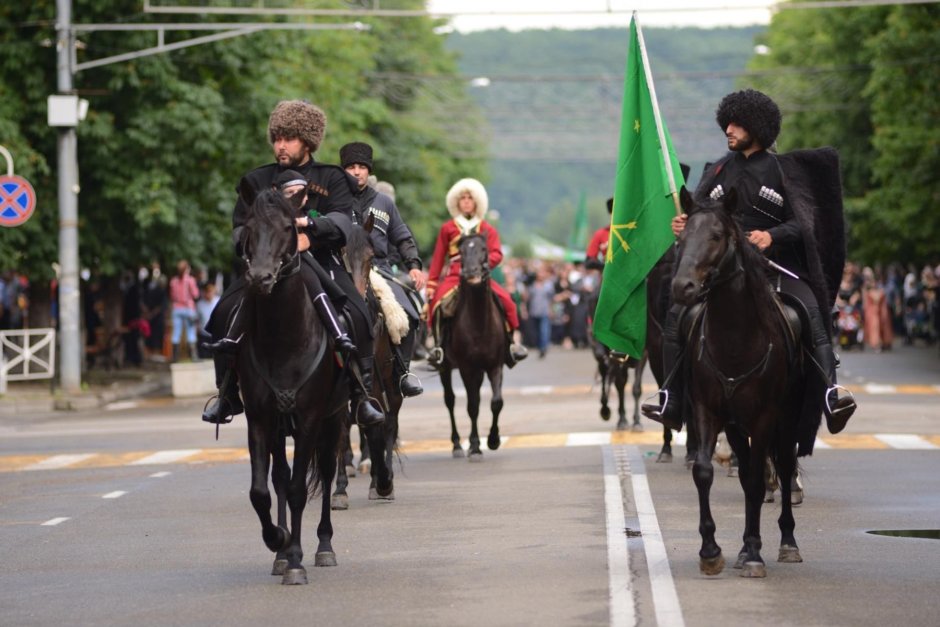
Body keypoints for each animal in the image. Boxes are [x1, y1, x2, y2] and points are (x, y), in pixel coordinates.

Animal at [235, 184, 346, 588]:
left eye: (288, 227)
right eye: (249, 227)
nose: (261, 278)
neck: (283, 337)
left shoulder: (311, 419)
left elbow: (299, 490)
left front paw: (297, 560)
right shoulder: (260, 420)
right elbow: (261, 491)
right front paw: (278, 542)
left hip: (335, 418)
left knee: (326, 473)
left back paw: (323, 546)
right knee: (280, 479)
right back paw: (281, 553)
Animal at [440, 233, 506, 458]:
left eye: (484, 249)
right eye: (461, 252)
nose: (471, 272)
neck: (479, 323)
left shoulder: (495, 365)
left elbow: (496, 402)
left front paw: (493, 440)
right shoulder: (466, 368)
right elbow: (473, 406)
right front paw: (476, 445)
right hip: (445, 367)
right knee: (450, 400)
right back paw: (458, 445)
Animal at [672, 186, 812, 580]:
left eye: (717, 236)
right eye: (682, 238)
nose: (682, 287)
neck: (735, 340)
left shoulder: (764, 417)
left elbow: (756, 481)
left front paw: (753, 552)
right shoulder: (709, 411)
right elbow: (705, 471)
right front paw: (711, 551)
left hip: (787, 418)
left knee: (783, 467)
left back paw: (787, 541)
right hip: (736, 425)